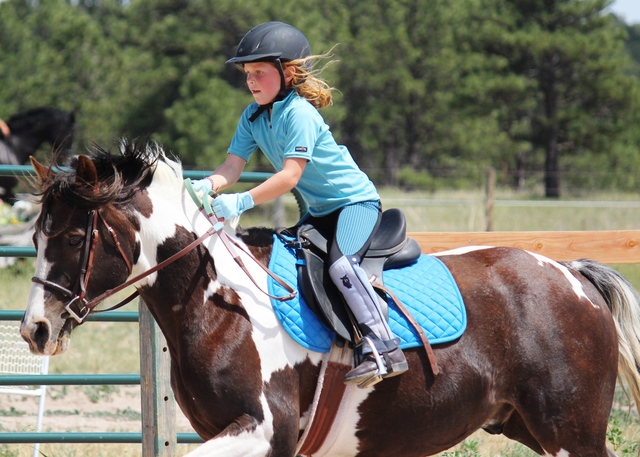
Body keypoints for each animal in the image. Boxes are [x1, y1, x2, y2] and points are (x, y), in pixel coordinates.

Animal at [18, 141, 640, 454]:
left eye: (71, 238)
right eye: (36, 238)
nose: (34, 330)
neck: (220, 307)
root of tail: (570, 274)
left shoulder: (264, 430)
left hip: (570, 434)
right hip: (530, 429)